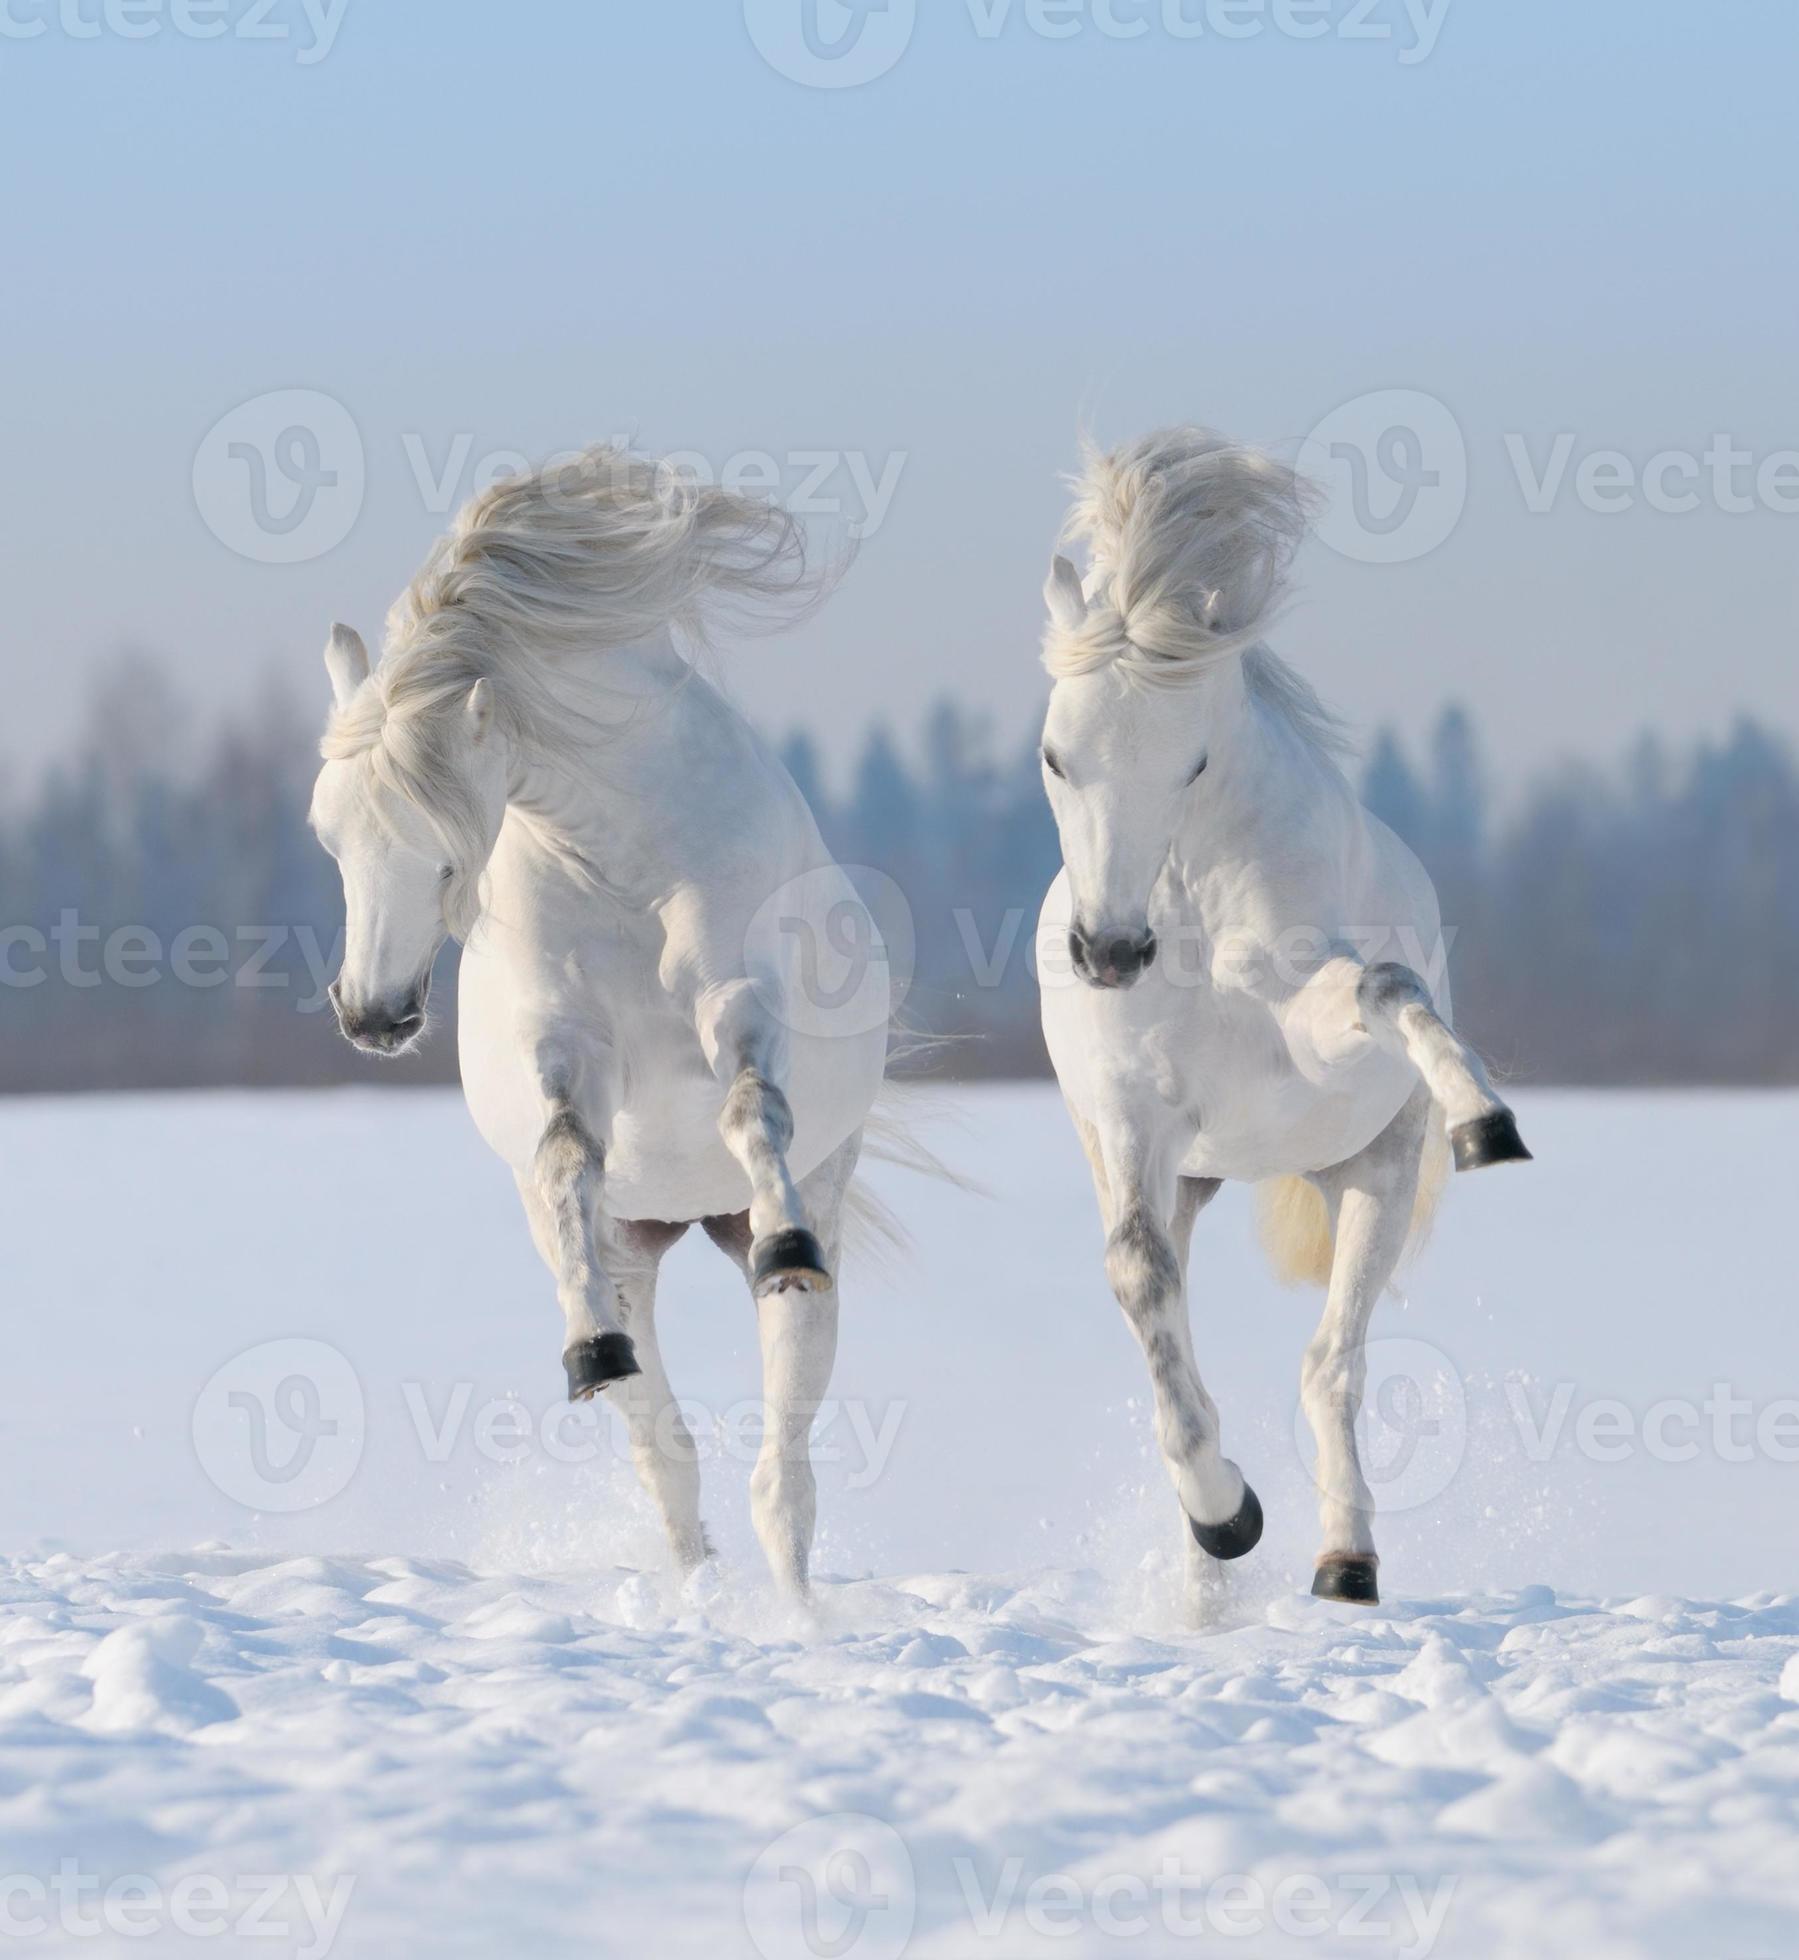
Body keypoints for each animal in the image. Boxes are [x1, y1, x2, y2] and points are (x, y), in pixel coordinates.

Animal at [319, 448, 901, 1591]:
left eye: (441, 851)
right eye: (330, 837)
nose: (371, 1014)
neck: (620, 858)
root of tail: (688, 1217)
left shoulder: (738, 1005)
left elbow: (751, 1107)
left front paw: (785, 1240)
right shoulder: (566, 1050)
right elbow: (562, 1159)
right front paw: (586, 1347)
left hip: (799, 1224)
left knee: (781, 1476)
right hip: (633, 1248)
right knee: (668, 1463)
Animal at [1034, 429, 1528, 1607]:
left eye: (1192, 760)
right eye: (1055, 754)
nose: (1109, 951)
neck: (1188, 906)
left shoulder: (1312, 1023)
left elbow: (1385, 987)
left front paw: (1486, 1120)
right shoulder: (1133, 1117)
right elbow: (1138, 1280)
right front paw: (1225, 1518)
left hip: (1370, 1176)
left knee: (1330, 1363)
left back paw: (1345, 1561)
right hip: (1188, 1175)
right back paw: (1207, 1587)